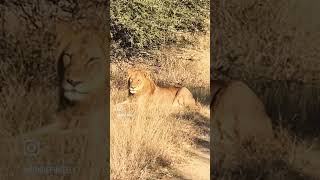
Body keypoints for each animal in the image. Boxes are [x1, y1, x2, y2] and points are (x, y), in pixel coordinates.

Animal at [18, 21, 109, 179]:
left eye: (92, 60)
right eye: (68, 56)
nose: (73, 82)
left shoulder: (95, 136)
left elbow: (53, 138)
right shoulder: (62, 122)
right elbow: (35, 134)